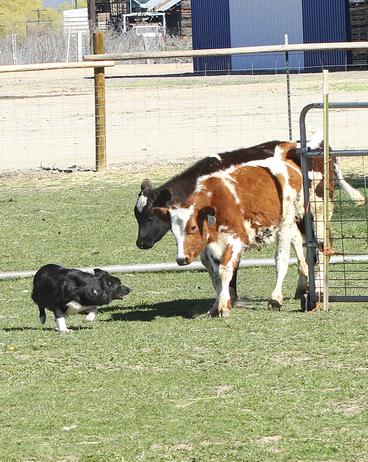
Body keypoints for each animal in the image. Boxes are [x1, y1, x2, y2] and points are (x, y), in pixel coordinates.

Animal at [155, 143, 308, 316]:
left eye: (193, 227)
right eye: (173, 231)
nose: (181, 259)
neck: (216, 204)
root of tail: (283, 161)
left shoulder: (235, 240)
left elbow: (225, 270)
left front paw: (222, 306)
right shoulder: (210, 248)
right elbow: (216, 276)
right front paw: (217, 306)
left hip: (285, 223)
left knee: (281, 260)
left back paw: (275, 298)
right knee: (297, 239)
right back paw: (303, 282)